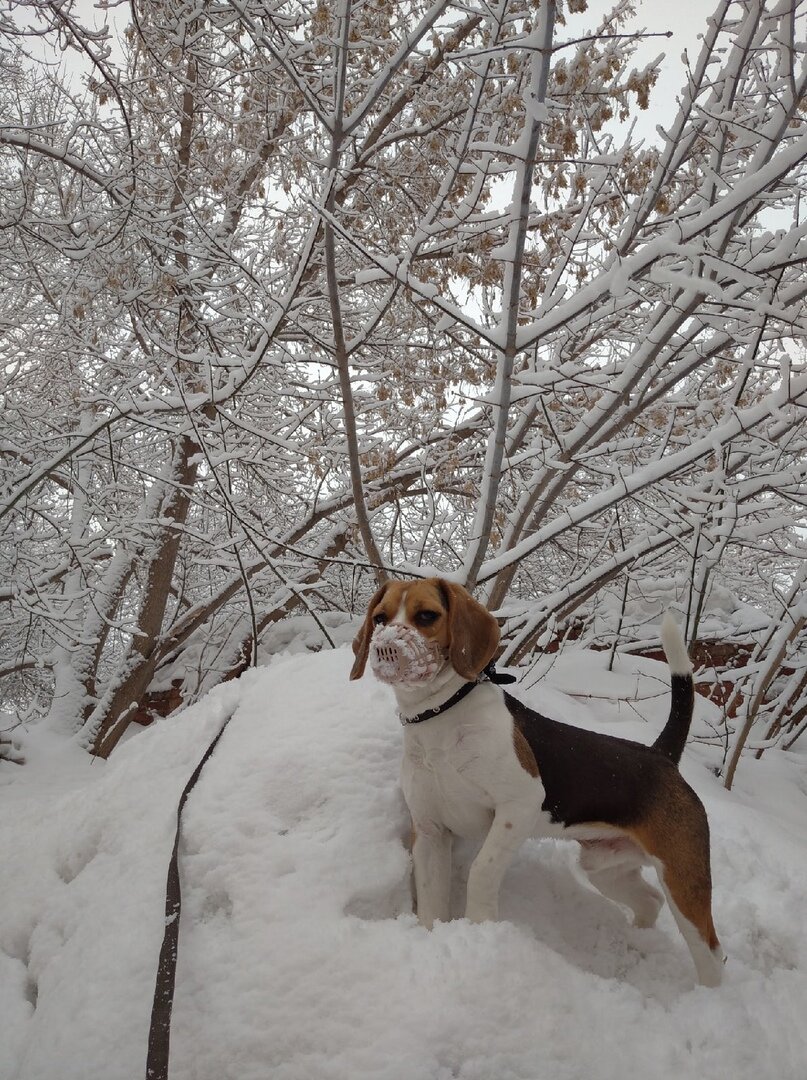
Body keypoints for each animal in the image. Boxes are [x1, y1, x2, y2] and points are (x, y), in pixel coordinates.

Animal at [354, 583, 725, 989]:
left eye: (426, 616)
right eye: (380, 618)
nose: (384, 648)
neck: (442, 715)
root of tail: (662, 755)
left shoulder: (519, 807)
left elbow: (481, 870)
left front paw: (481, 927)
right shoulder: (431, 832)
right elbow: (431, 899)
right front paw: (433, 938)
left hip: (683, 879)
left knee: (711, 951)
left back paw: (707, 995)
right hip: (605, 867)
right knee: (649, 901)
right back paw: (638, 940)